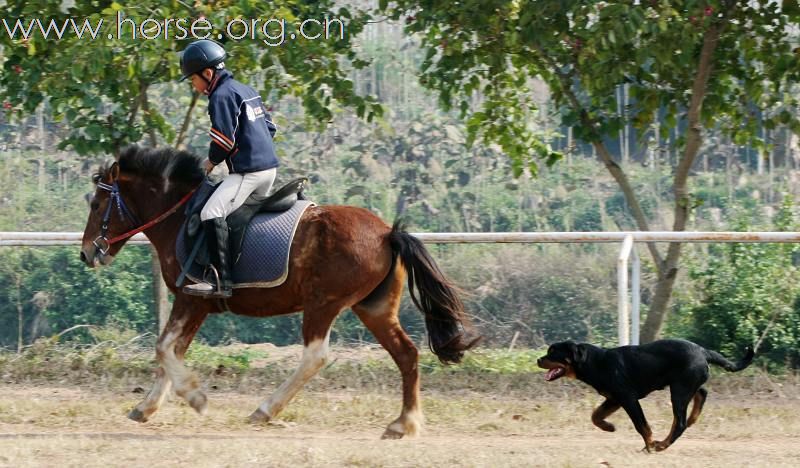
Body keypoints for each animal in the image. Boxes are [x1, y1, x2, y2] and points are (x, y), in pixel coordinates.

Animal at [80, 144, 478, 436]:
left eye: (97, 204)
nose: (87, 253)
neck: (179, 216)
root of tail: (386, 233)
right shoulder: (195, 303)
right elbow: (171, 352)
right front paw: (146, 407)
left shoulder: (192, 298)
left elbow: (164, 349)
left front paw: (195, 397)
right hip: (374, 309)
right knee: (407, 355)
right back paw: (404, 423)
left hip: (323, 304)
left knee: (315, 356)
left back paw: (265, 410)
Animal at [536, 338, 752, 452]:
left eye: (553, 352)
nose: (538, 359)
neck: (595, 362)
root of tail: (703, 351)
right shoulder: (614, 399)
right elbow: (595, 415)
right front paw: (609, 427)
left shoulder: (628, 398)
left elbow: (642, 426)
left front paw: (649, 447)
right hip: (684, 384)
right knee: (702, 393)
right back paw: (692, 418)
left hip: (679, 390)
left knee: (679, 423)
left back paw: (661, 445)